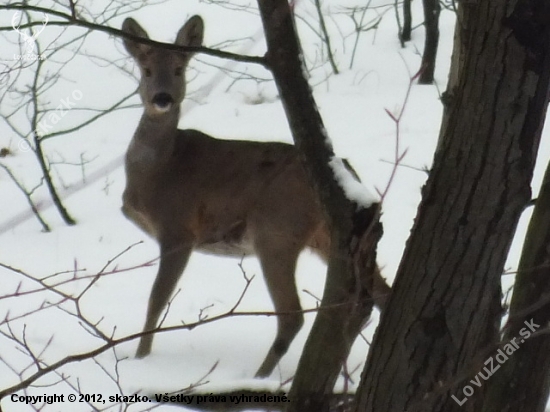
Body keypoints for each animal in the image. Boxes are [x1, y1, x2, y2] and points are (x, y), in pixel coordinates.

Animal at [122, 15, 388, 376]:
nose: (162, 98)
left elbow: (156, 299)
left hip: (276, 229)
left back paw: (260, 376)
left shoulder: (178, 227)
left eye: (179, 69)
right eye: (146, 70)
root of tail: (352, 175)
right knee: (379, 295)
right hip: (328, 236)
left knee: (293, 314)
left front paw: (140, 358)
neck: (159, 168)